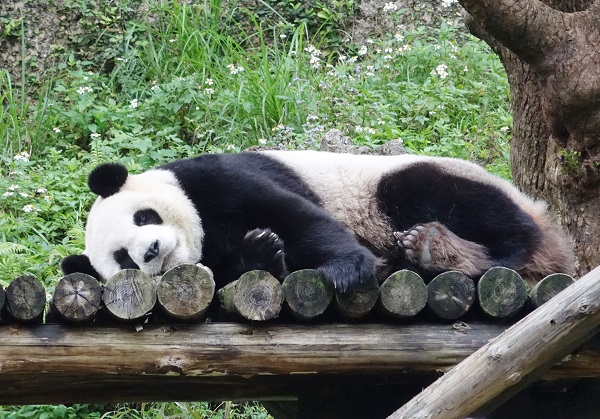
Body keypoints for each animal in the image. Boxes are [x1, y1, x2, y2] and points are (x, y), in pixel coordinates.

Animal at [61, 151, 572, 292]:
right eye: (123, 259)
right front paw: (262, 252)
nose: (150, 251)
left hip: (399, 180)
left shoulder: (216, 179)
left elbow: (296, 215)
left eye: (143, 216)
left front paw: (343, 270)